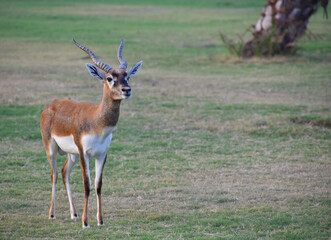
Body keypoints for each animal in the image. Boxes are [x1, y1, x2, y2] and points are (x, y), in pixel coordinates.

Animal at [40, 38, 143, 228]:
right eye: (109, 78)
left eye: (127, 76)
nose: (127, 90)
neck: (97, 122)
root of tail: (51, 105)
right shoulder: (84, 153)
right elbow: (87, 185)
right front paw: (85, 222)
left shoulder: (102, 154)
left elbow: (98, 185)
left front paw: (100, 221)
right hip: (51, 148)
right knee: (54, 174)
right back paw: (52, 214)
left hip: (71, 154)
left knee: (65, 172)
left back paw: (73, 214)